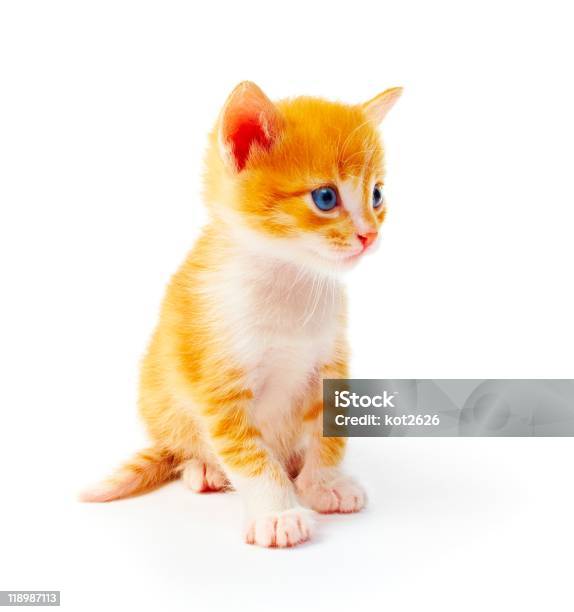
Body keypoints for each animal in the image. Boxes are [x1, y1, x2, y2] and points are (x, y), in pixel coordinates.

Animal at [83, 82, 402, 548]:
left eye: (377, 194)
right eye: (326, 198)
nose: (370, 235)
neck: (290, 279)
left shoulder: (330, 363)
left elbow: (329, 432)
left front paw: (323, 482)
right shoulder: (217, 382)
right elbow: (248, 454)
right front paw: (278, 513)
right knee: (185, 448)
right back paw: (204, 468)